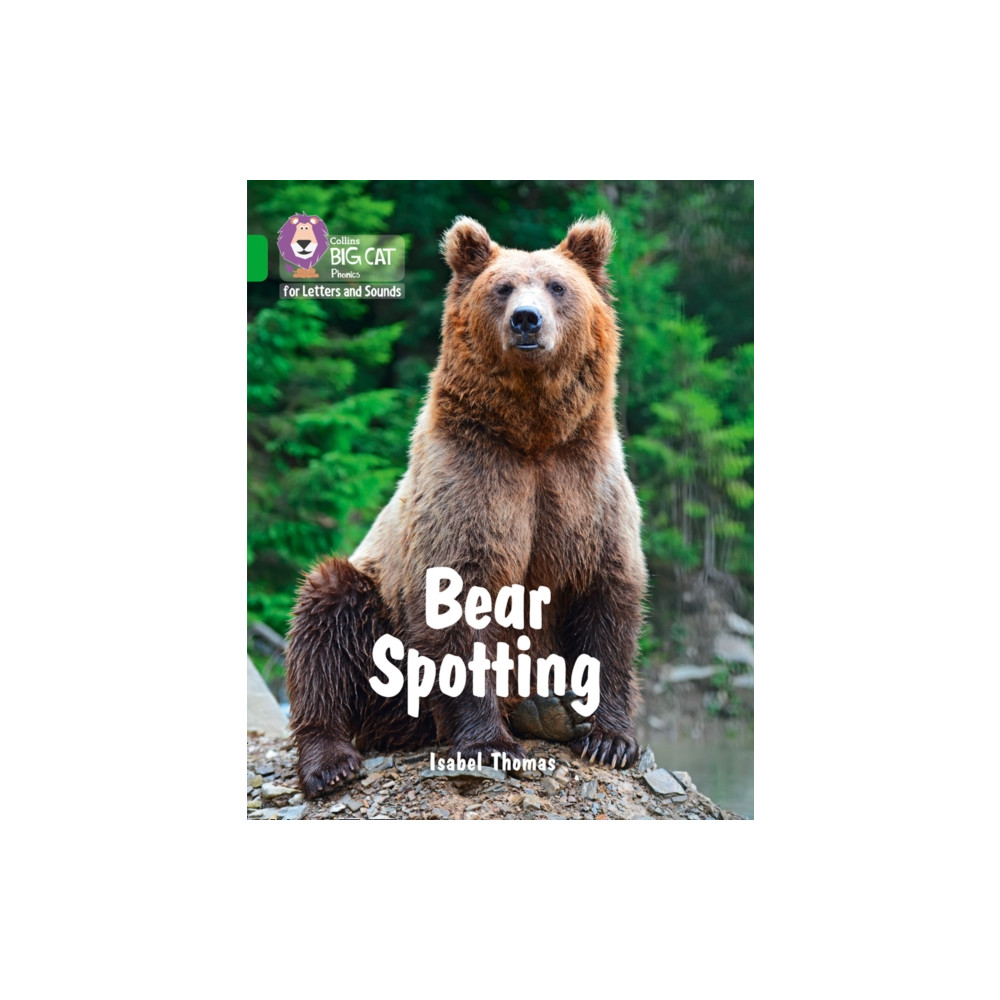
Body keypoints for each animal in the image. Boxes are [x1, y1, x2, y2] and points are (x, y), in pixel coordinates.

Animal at [284, 214, 647, 799]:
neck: (532, 434)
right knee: (325, 620)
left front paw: (609, 739)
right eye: (502, 288)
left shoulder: (583, 485)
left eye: (557, 286)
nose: (526, 320)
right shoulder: (471, 481)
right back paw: (330, 760)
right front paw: (490, 744)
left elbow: (607, 599)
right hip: (377, 620)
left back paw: (546, 710)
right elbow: (459, 600)